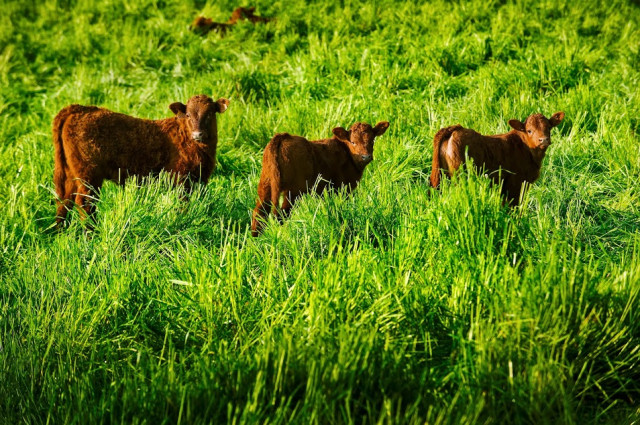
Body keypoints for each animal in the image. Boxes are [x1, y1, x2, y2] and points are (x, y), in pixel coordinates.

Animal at [53, 93, 230, 225]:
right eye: (187, 114)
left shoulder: (201, 179)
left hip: (69, 174)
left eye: (210, 114)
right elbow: (183, 204)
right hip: (89, 175)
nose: (197, 135)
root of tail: (79, 108)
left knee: (64, 201)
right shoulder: (181, 178)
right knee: (85, 203)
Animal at [250, 121, 390, 237]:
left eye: (372, 141)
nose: (366, 156)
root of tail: (283, 136)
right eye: (353, 142)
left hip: (265, 184)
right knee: (282, 214)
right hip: (294, 191)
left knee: (259, 212)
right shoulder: (343, 188)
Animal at [430, 111, 564, 205]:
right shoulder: (516, 184)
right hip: (460, 176)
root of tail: (456, 128)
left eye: (549, 128)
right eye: (529, 130)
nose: (544, 140)